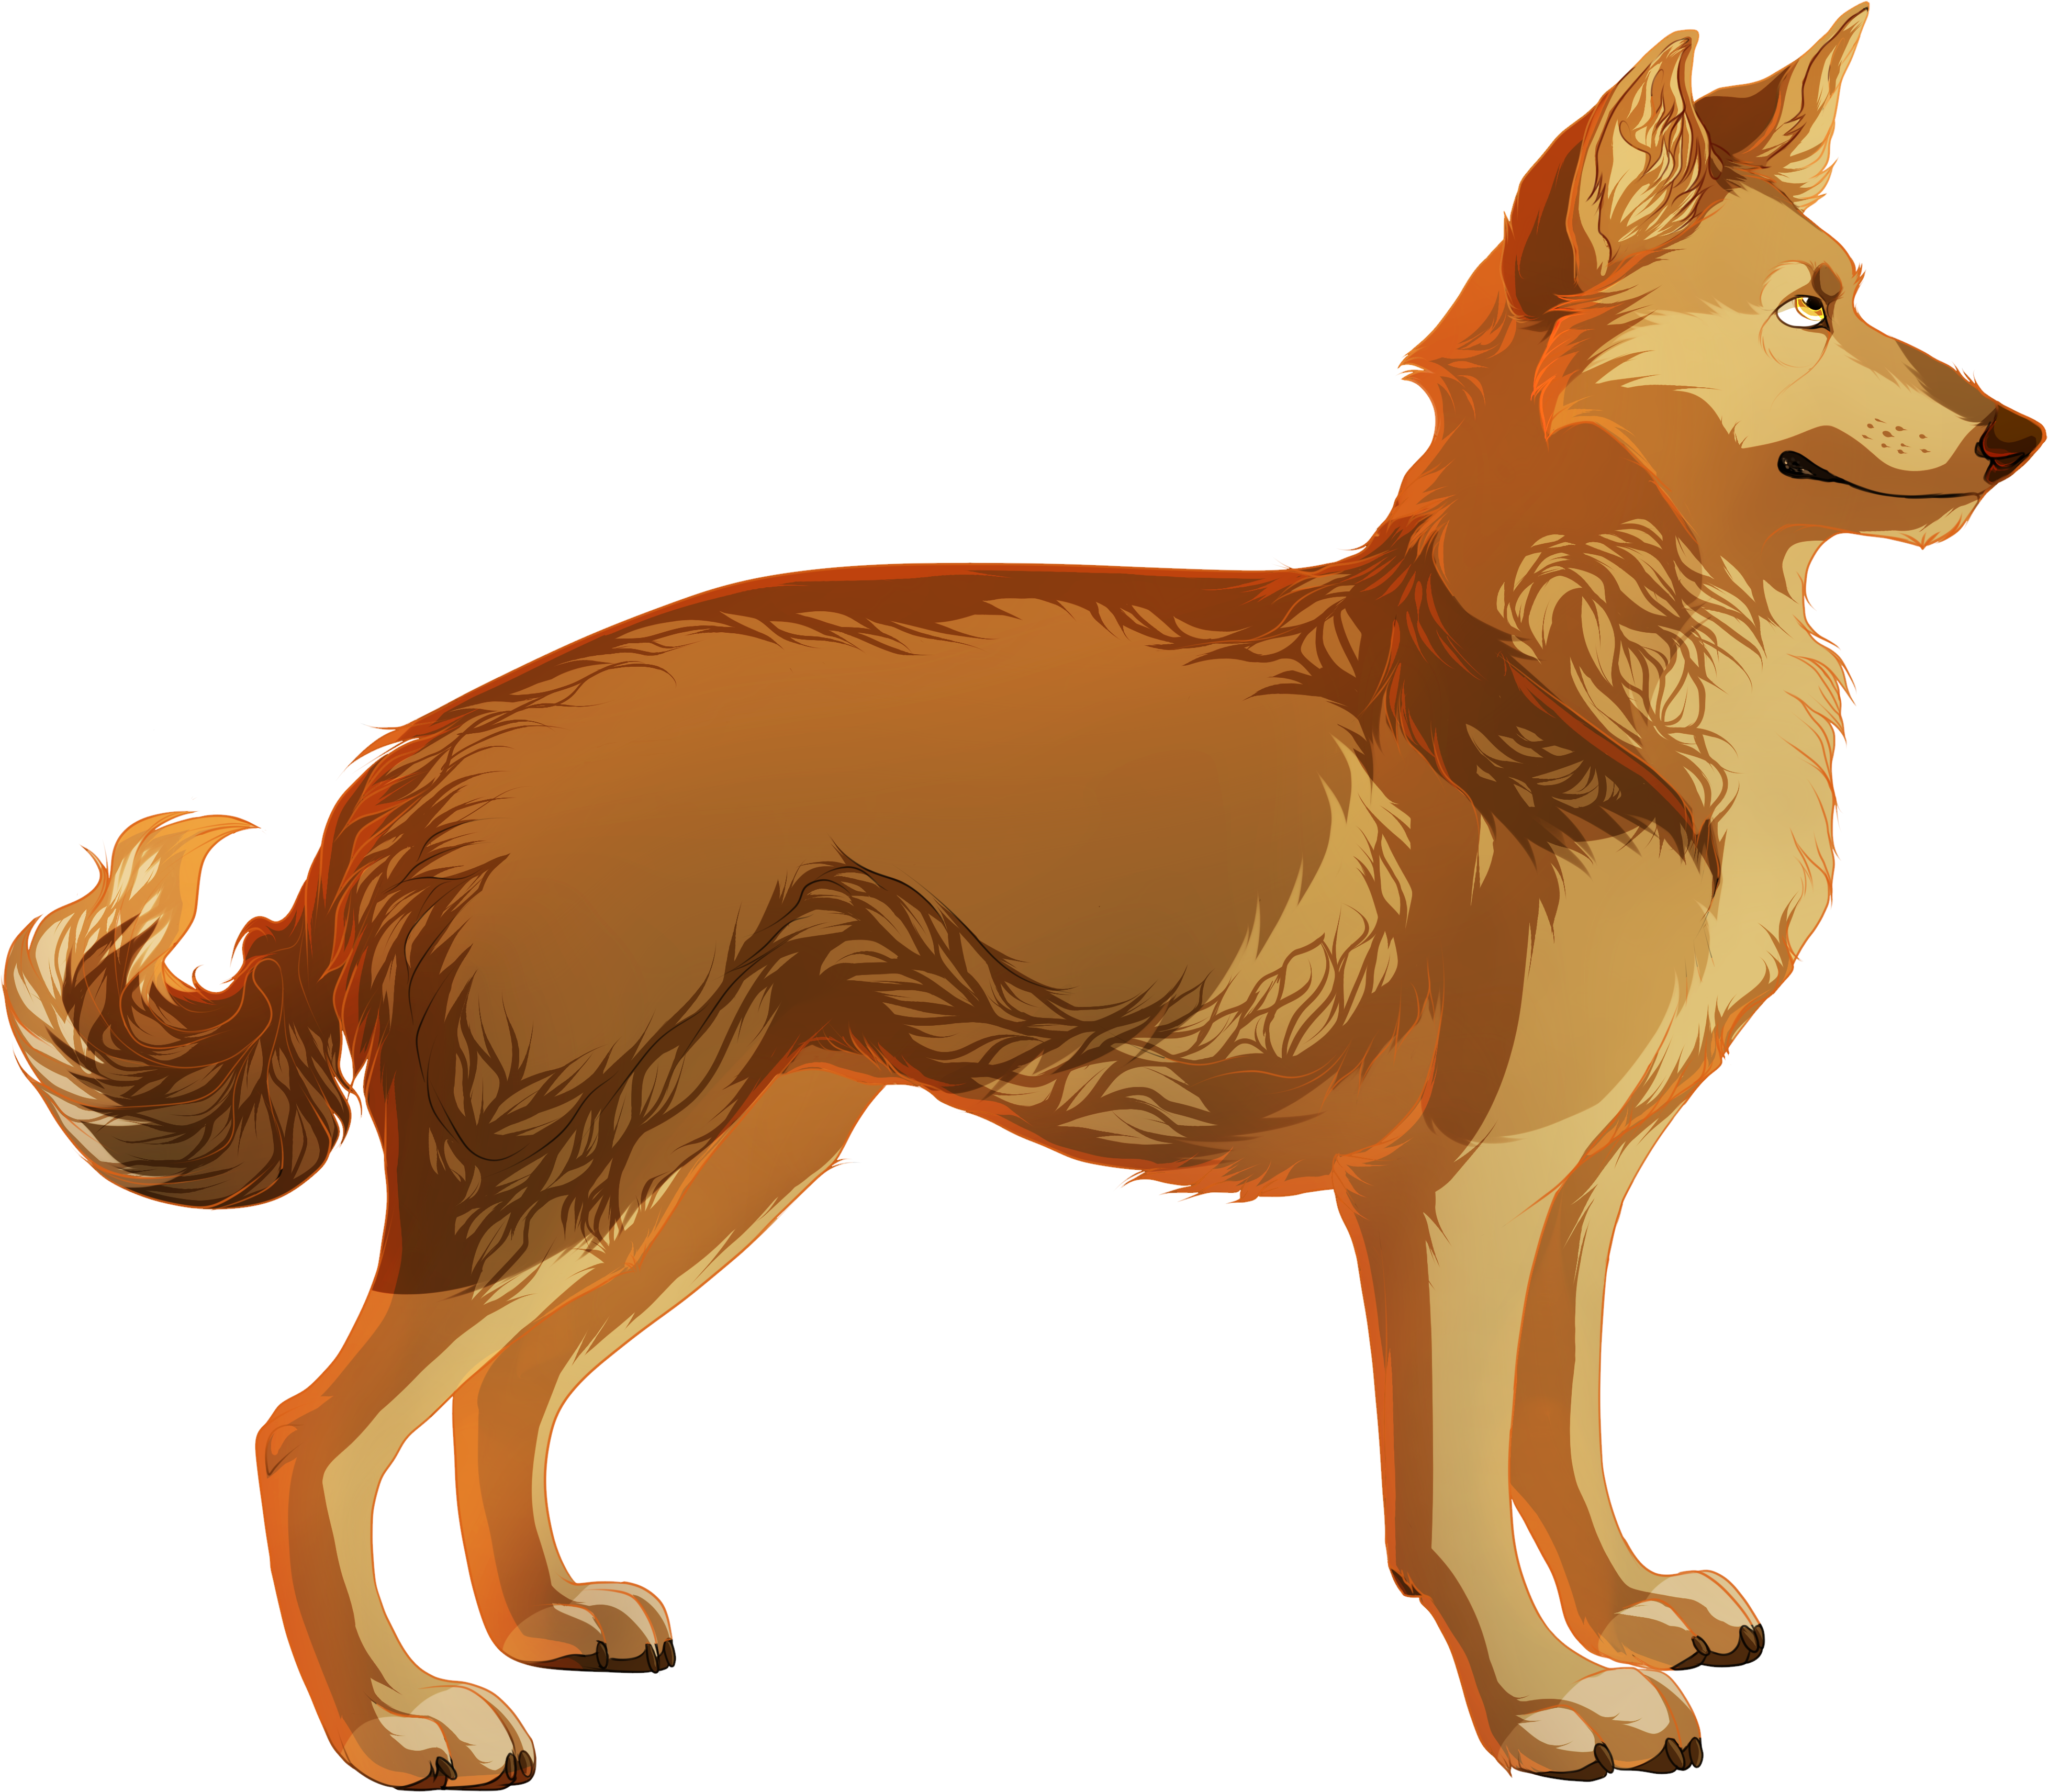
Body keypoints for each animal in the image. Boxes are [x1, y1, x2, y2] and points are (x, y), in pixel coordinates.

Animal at [8, 3, 2038, 1781]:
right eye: (1800, 311)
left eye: (1858, 293)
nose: (2019, 435)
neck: (1573, 653)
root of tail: (397, 757)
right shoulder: (1448, 1197)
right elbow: (1457, 1489)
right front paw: (1542, 1703)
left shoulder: (1583, 1186)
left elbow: (1562, 1440)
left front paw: (1620, 1618)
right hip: (557, 1189)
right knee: (307, 1439)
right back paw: (401, 1721)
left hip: (693, 1173)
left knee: (502, 1399)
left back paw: (545, 1626)